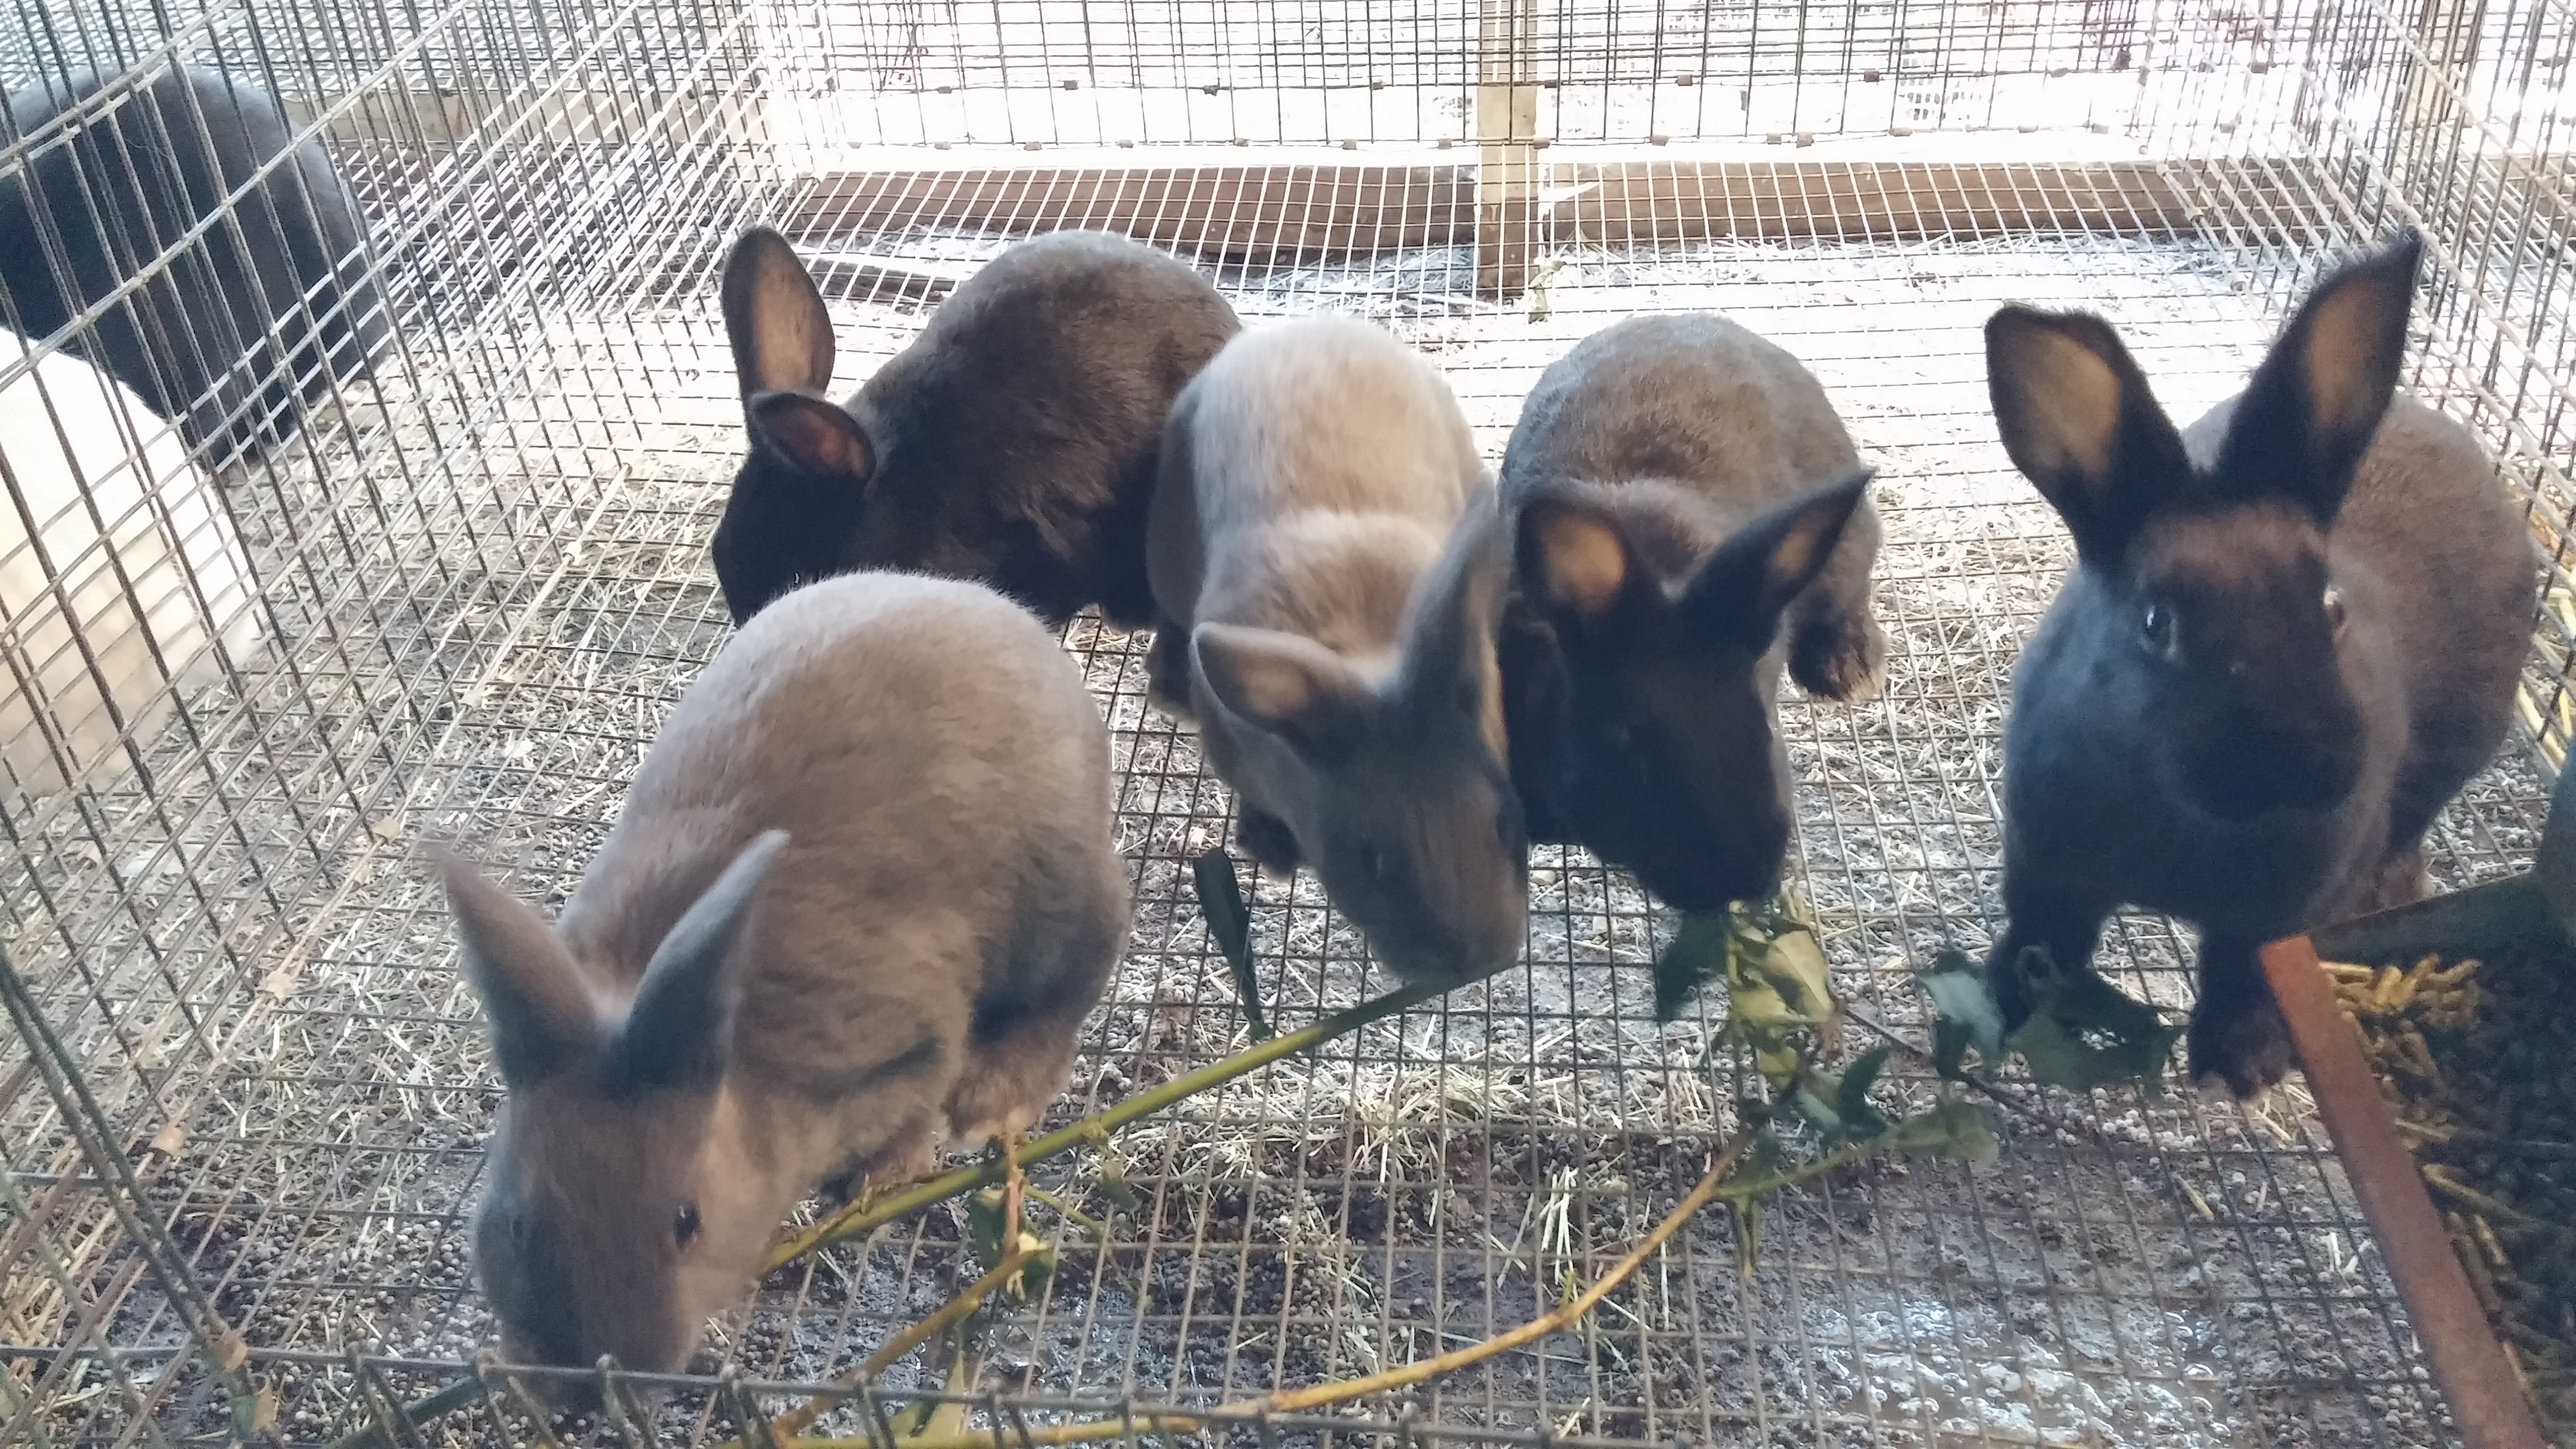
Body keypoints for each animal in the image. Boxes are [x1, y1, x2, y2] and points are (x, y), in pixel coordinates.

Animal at [436, 570, 1130, 1380]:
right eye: (518, 1225)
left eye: (687, 1223)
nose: (585, 1383)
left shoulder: (909, 1027)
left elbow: (920, 1099)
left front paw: (879, 1181)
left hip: (1064, 895)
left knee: (1069, 991)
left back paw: (991, 1101)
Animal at [1147, 315, 1527, 986]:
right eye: (1371, 860)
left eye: (1507, 824)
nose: (1476, 966)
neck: (1365, 650)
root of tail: (1299, 326)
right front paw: (1270, 850)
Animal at [1981, 231, 2537, 1098]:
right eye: (2155, 623)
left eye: (2331, 608)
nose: (2300, 765)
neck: (2185, 822)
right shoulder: (2044, 864)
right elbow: (2043, 936)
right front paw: (1999, 1006)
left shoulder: (2278, 914)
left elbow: (2244, 969)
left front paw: (2238, 1066)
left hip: (2466, 735)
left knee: (2415, 815)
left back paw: (2390, 884)